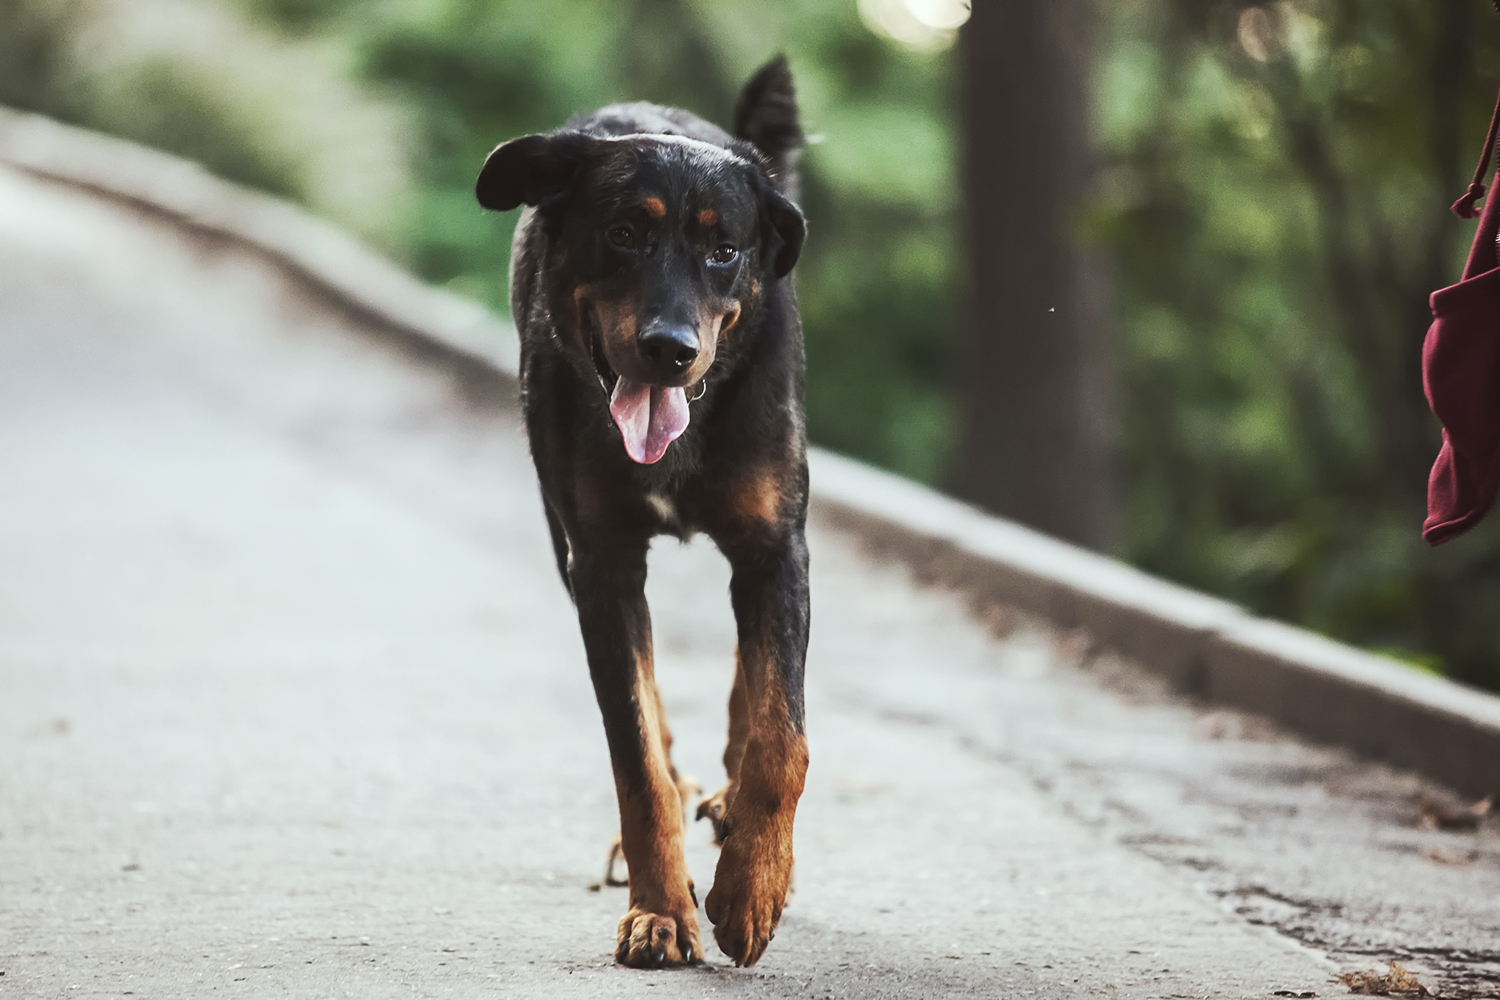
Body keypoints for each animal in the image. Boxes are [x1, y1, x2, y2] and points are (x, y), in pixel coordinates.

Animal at [477, 56, 810, 971]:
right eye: (624, 232)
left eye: (724, 250)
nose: (669, 349)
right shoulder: (600, 567)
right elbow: (635, 753)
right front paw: (661, 910)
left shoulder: (776, 546)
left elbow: (781, 736)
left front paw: (751, 886)